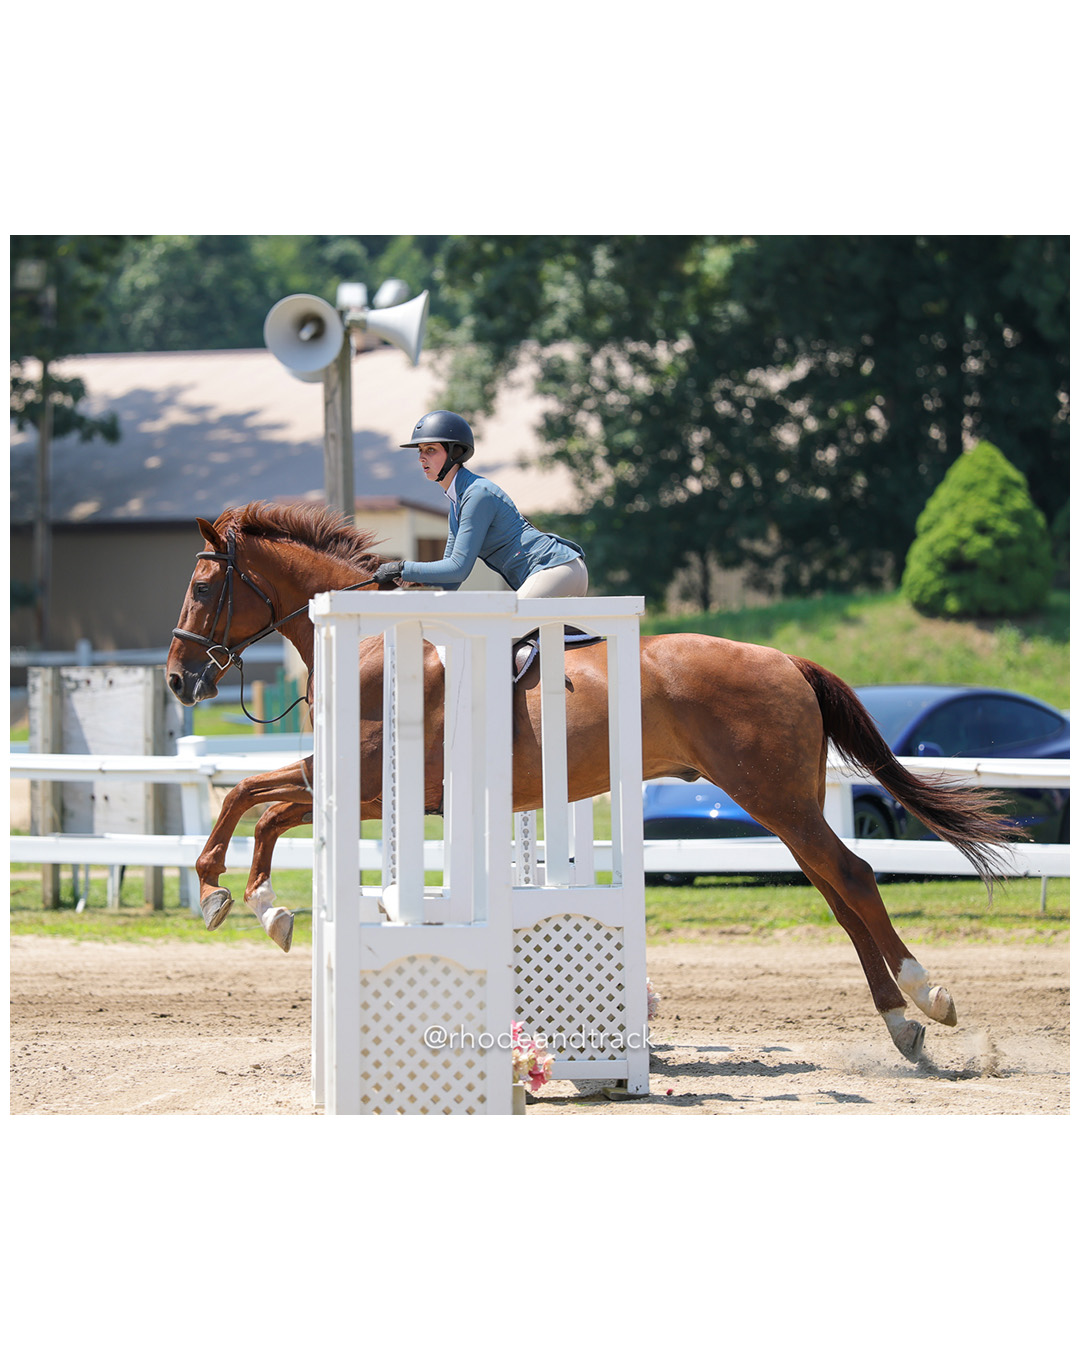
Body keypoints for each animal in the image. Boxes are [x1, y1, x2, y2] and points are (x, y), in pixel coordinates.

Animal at [166, 500, 1023, 1061]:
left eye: (205, 589)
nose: (178, 680)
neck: (375, 643)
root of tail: (788, 658)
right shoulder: (356, 787)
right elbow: (260, 805)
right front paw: (255, 903)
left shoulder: (371, 786)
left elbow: (252, 801)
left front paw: (227, 895)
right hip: (787, 805)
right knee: (837, 892)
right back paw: (902, 1026)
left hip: (775, 798)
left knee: (854, 876)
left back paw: (929, 999)